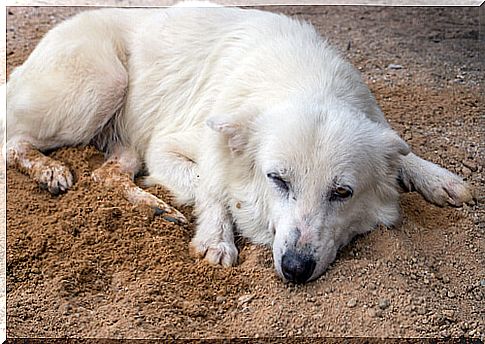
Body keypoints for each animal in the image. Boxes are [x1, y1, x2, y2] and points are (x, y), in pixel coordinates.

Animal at [6, 2, 472, 284]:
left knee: (104, 174)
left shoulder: (376, 123)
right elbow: (212, 185)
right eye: (277, 180)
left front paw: (439, 178)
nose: (296, 268)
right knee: (12, 142)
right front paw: (217, 239)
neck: (306, 81)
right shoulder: (168, 147)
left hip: (126, 141)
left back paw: (155, 206)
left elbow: (403, 152)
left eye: (342, 192)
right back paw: (49, 169)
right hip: (102, 85)